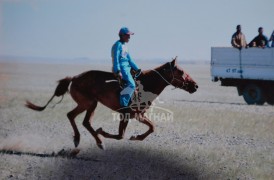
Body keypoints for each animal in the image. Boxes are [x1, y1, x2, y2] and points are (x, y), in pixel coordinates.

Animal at [26, 57, 197, 149]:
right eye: (181, 72)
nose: (195, 86)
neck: (146, 84)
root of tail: (74, 78)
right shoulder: (127, 114)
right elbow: (121, 135)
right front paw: (104, 132)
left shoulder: (137, 115)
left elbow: (151, 127)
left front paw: (135, 137)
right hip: (88, 103)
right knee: (77, 118)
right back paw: (94, 140)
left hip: (90, 104)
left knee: (79, 119)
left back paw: (88, 140)